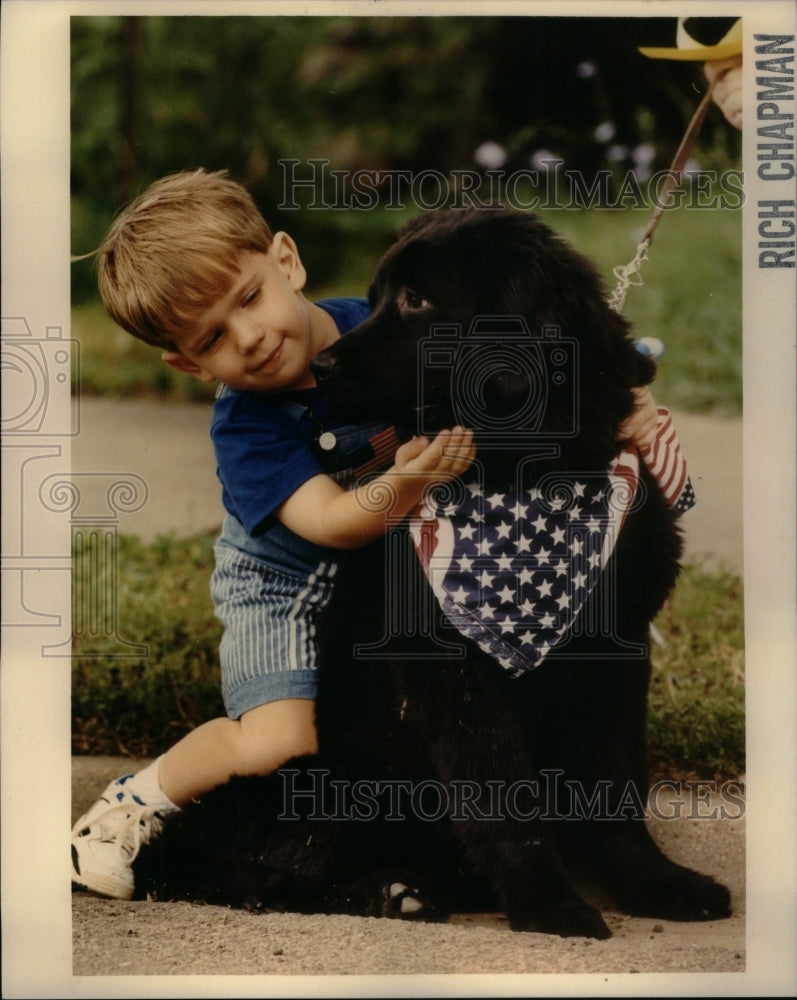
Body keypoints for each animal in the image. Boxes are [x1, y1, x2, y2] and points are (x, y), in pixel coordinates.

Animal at [135, 209, 728, 936]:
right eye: (376, 297)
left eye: (416, 301)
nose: (321, 368)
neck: (527, 467)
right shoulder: (453, 668)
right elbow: (499, 788)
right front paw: (548, 902)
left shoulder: (617, 648)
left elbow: (615, 782)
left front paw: (654, 885)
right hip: (316, 771)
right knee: (243, 869)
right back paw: (385, 892)